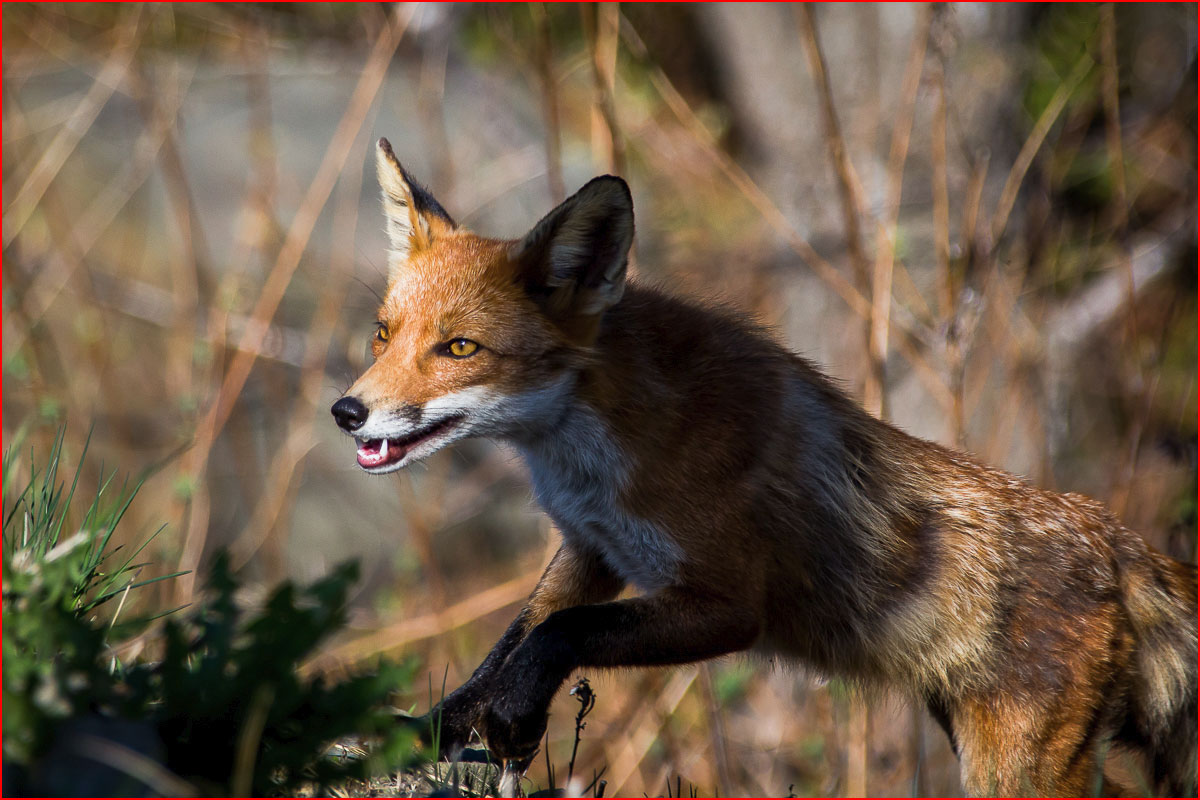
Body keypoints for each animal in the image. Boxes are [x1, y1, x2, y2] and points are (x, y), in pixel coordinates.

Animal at [331, 140, 1200, 796]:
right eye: (383, 334)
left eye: (460, 348)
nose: (347, 412)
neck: (602, 448)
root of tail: (1125, 543)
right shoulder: (594, 550)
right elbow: (515, 641)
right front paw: (438, 728)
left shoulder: (727, 605)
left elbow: (561, 634)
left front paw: (513, 720)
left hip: (1016, 768)